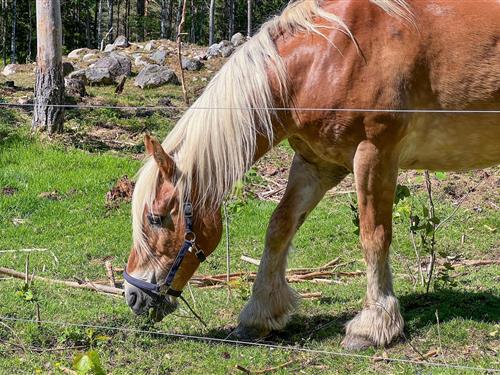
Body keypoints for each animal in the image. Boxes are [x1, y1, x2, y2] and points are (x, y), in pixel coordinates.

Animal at [122, 0, 500, 350]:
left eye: (156, 218)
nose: (132, 294)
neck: (327, 57)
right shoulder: (316, 163)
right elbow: (279, 227)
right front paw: (259, 314)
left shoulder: (375, 154)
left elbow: (373, 236)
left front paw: (373, 324)